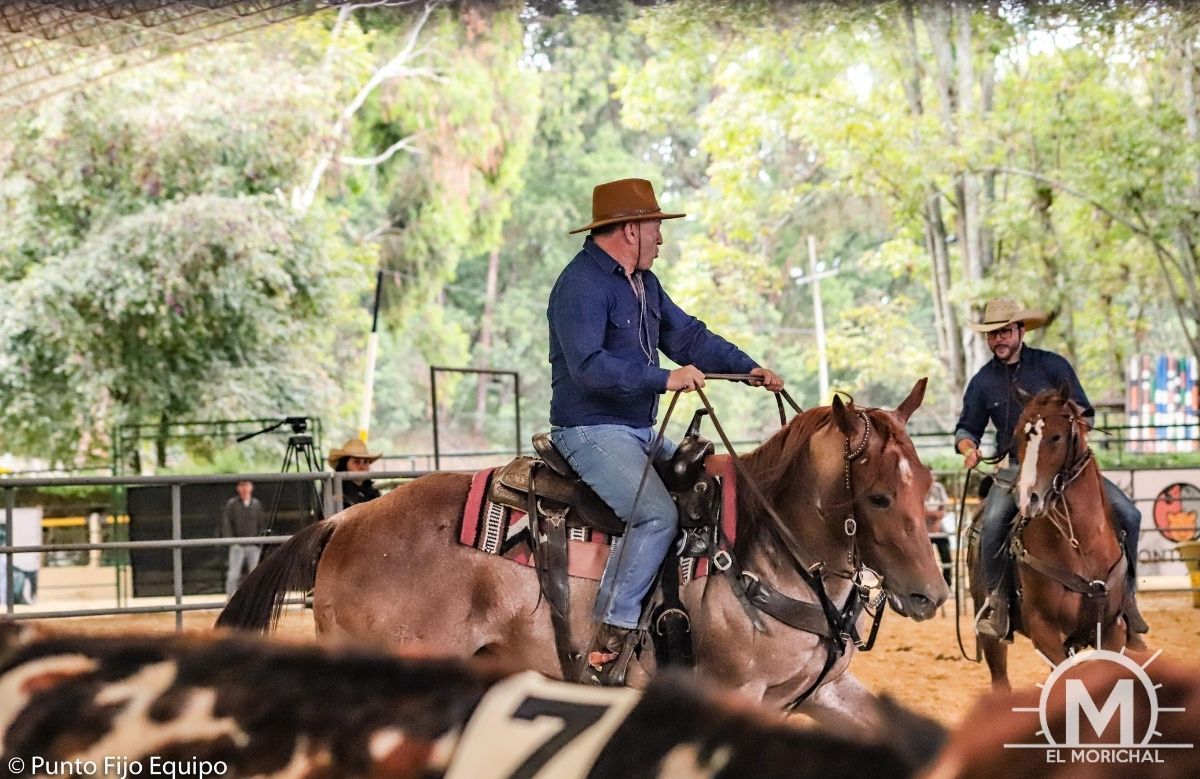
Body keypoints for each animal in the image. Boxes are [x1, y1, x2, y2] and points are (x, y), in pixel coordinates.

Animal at [216, 381, 945, 729]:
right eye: (879, 496)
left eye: (928, 485)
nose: (931, 595)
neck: (762, 548)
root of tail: (345, 519)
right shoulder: (737, 694)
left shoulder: (828, 691)